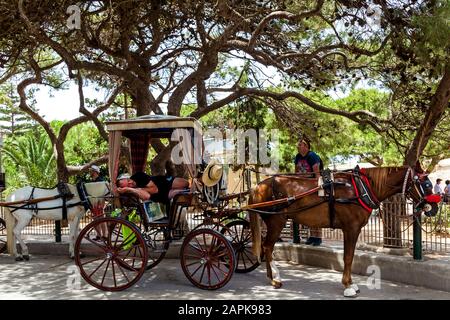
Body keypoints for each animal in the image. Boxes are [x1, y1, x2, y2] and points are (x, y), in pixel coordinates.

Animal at [248, 164, 434, 298]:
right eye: (426, 184)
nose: (435, 207)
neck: (360, 188)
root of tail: (259, 186)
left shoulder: (352, 229)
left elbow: (349, 257)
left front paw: (350, 283)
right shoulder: (351, 228)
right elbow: (348, 257)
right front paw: (348, 285)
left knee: (266, 247)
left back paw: (271, 276)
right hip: (276, 221)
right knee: (268, 247)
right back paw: (275, 279)